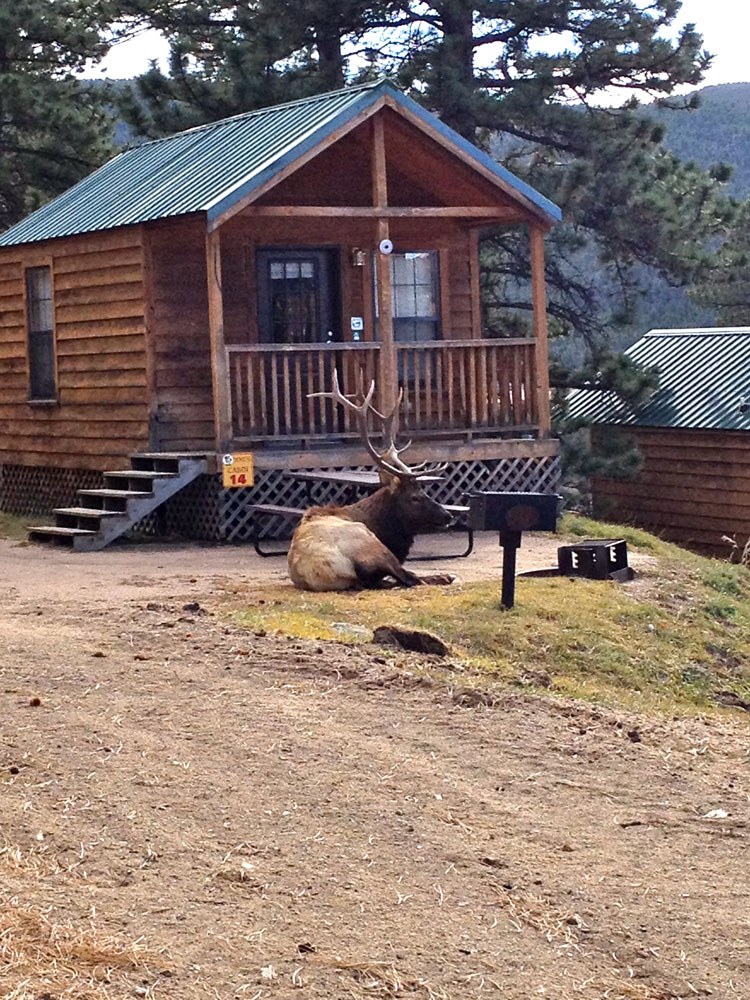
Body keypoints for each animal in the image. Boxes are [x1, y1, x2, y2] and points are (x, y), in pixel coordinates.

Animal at [286, 376, 452, 592]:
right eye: (415, 497)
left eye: (425, 492)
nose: (448, 515)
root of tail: (326, 571)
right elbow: (411, 576)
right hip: (371, 544)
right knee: (410, 578)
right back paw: (446, 576)